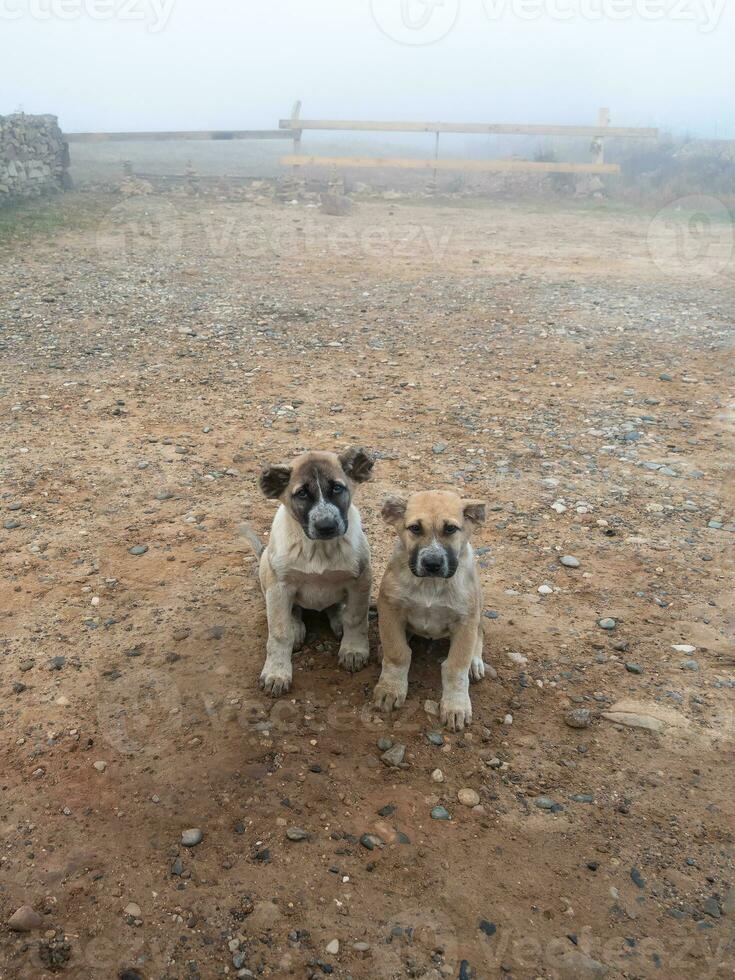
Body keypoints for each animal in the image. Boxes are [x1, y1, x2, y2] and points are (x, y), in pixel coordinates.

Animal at [258, 448, 374, 692]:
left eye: (337, 488)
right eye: (302, 493)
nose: (326, 526)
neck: (319, 549)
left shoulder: (360, 579)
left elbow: (356, 618)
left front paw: (353, 650)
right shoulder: (279, 586)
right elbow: (279, 633)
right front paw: (276, 672)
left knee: (337, 607)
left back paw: (338, 618)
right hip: (266, 568)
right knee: (293, 611)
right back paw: (296, 627)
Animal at [374, 488, 488, 728]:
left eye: (451, 529)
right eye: (415, 528)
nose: (432, 564)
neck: (430, 584)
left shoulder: (465, 621)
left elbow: (456, 667)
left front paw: (456, 706)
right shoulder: (389, 608)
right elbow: (397, 653)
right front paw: (391, 688)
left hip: (478, 609)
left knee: (480, 633)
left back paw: (475, 662)